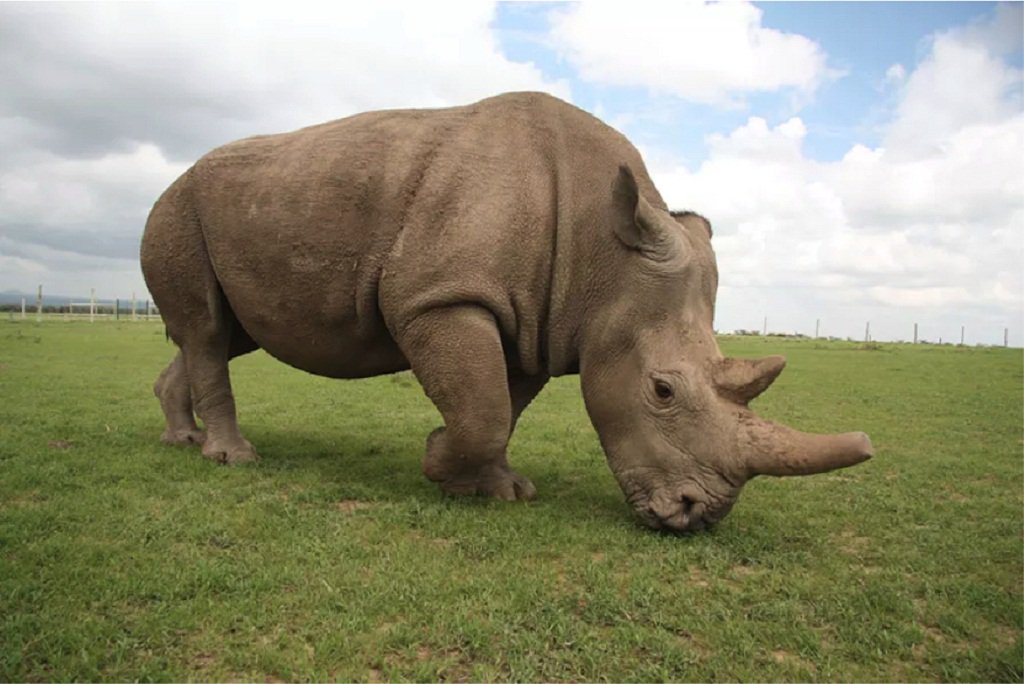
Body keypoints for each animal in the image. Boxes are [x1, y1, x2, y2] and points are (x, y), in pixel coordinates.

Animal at [141, 91, 872, 532]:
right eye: (663, 390)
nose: (696, 516)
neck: (602, 251)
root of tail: (175, 177)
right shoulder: (440, 294)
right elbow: (484, 407)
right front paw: (438, 460)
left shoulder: (539, 321)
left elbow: (502, 405)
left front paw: (497, 491)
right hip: (178, 206)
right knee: (207, 330)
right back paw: (233, 459)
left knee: (225, 336)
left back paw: (182, 440)